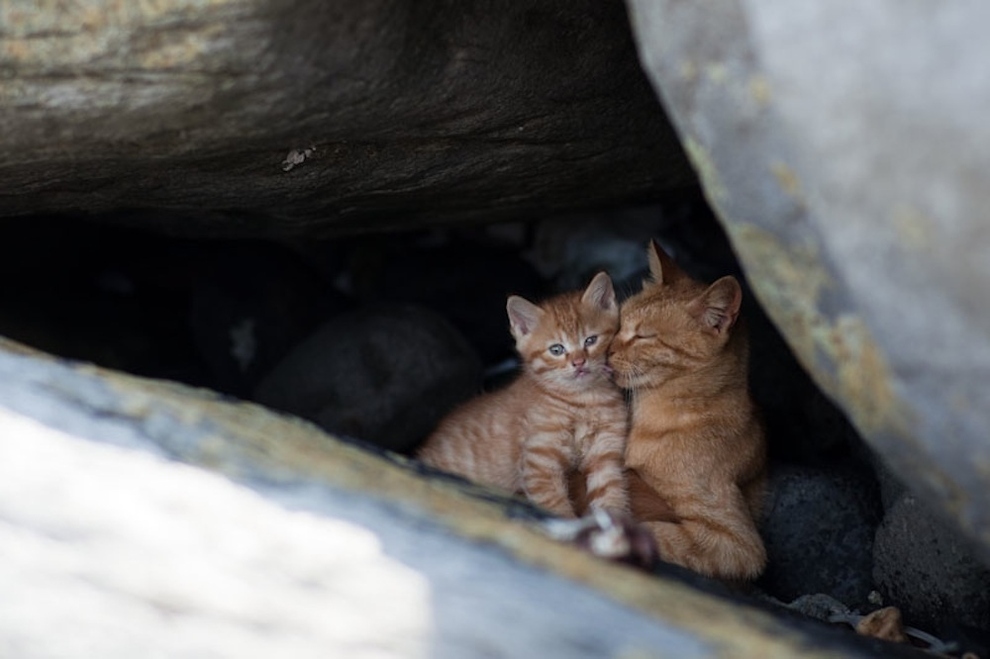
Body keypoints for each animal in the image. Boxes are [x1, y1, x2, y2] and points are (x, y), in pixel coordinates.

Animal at [416, 270, 628, 520]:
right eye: (556, 349)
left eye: (591, 340)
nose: (578, 362)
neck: (583, 400)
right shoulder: (538, 464)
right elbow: (555, 507)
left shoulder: (605, 455)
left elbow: (611, 496)